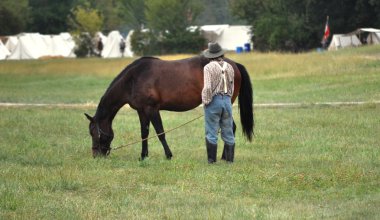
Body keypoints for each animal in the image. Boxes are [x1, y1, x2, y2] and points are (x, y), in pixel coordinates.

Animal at [84, 55, 254, 160]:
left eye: (94, 133)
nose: (96, 155)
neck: (134, 78)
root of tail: (234, 65)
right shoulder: (142, 111)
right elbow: (144, 133)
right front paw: (143, 156)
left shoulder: (152, 109)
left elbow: (160, 133)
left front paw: (168, 155)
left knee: (230, 128)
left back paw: (224, 157)